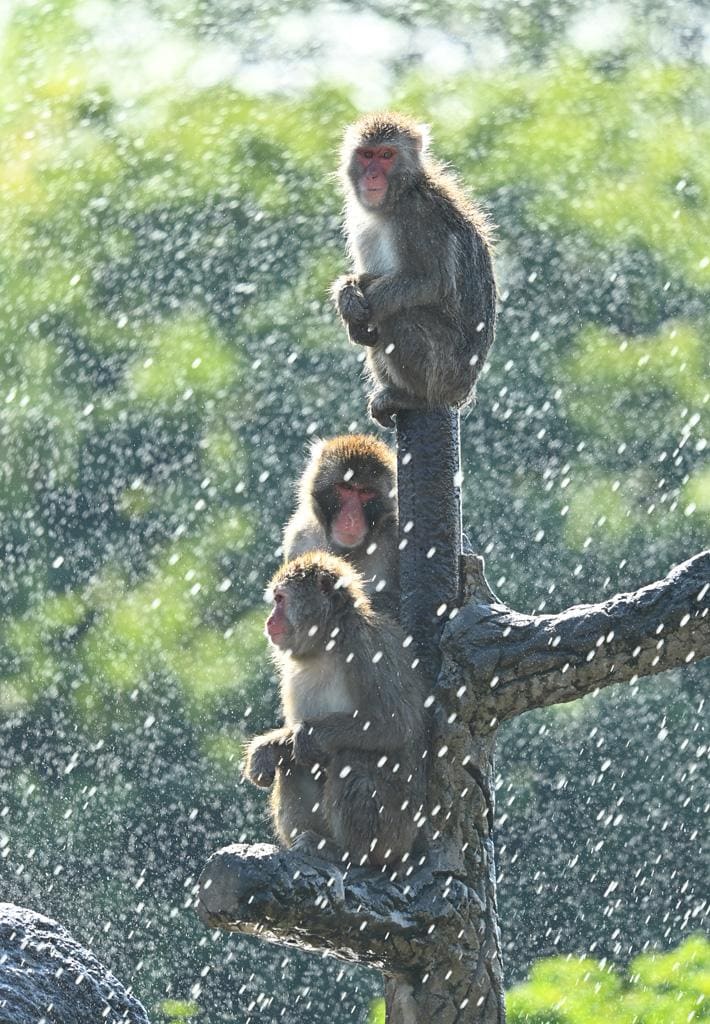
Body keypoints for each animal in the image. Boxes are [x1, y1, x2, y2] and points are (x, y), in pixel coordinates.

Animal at [242, 552, 426, 864]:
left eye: (280, 599)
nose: (269, 621)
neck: (326, 642)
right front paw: (263, 751)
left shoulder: (366, 647)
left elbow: (395, 724)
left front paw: (309, 734)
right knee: (292, 763)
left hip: (395, 832)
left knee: (352, 756)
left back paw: (347, 853)